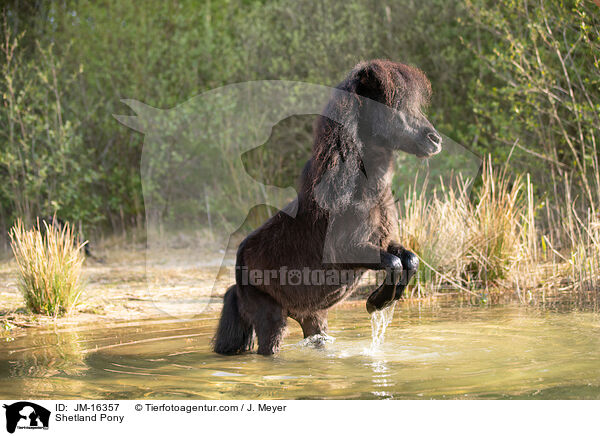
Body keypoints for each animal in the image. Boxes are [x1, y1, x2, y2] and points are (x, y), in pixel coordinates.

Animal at [213, 59, 442, 356]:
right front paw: (374, 303)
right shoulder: (346, 250)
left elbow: (410, 260)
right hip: (271, 319)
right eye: (394, 105)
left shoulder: (383, 241)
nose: (435, 140)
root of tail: (237, 274)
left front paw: (381, 301)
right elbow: (393, 263)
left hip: (314, 317)